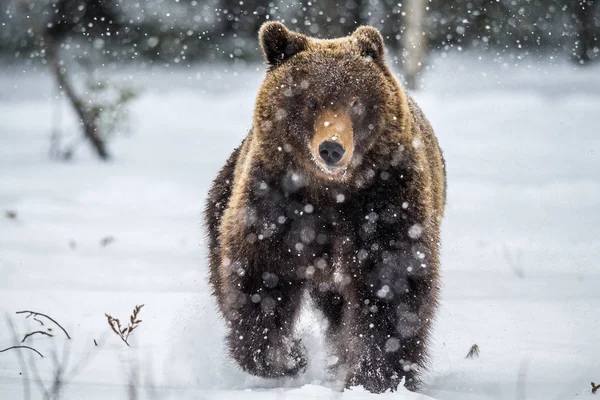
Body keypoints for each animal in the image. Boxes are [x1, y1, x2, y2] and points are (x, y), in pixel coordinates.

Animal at [206, 21, 446, 394]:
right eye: (311, 100)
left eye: (355, 102)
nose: (331, 148)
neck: (332, 193)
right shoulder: (275, 206)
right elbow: (260, 280)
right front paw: (288, 357)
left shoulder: (387, 204)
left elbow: (390, 287)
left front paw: (375, 377)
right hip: (224, 195)